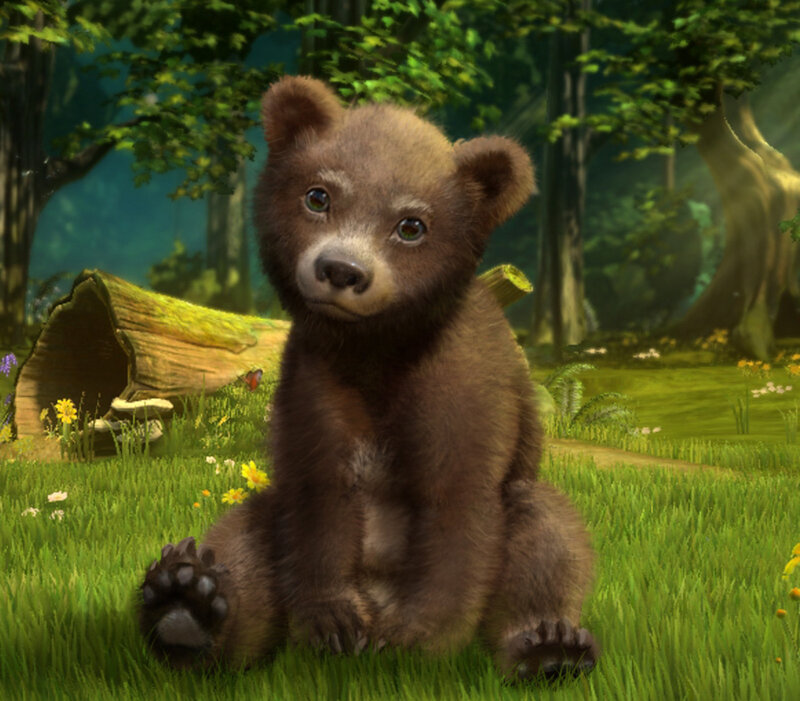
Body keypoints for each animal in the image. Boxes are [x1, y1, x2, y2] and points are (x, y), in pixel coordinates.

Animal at [137, 74, 599, 683]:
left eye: (411, 225)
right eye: (318, 196)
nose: (341, 269)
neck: (376, 353)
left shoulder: (464, 388)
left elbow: (458, 510)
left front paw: (415, 640)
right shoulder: (316, 381)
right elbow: (317, 498)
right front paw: (333, 623)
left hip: (524, 504)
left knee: (546, 530)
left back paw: (550, 646)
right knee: (245, 534)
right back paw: (187, 604)